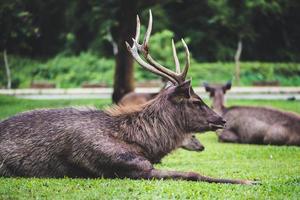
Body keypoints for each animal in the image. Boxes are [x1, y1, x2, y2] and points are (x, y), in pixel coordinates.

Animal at [0, 10, 255, 184]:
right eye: (196, 101)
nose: (222, 119)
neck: (145, 144)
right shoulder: (127, 165)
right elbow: (194, 173)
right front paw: (249, 180)